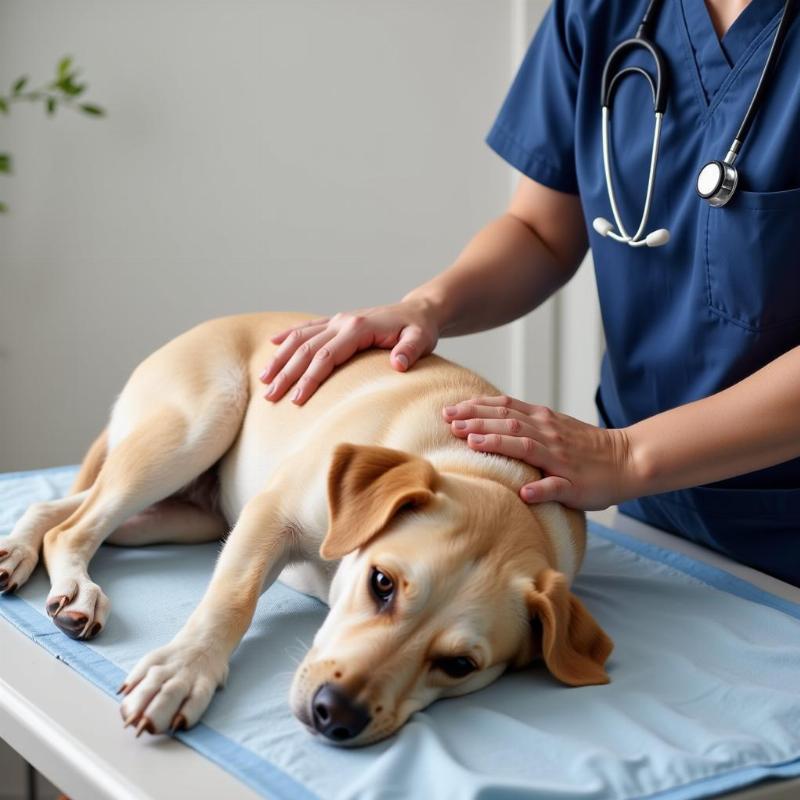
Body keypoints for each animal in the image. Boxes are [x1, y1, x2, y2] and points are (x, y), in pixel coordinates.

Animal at [0, 310, 612, 744]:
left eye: (460, 665)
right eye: (382, 583)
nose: (333, 715)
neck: (493, 478)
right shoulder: (273, 514)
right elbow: (232, 598)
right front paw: (181, 673)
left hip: (189, 516)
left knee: (59, 512)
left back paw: (22, 554)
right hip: (194, 431)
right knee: (76, 525)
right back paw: (76, 591)